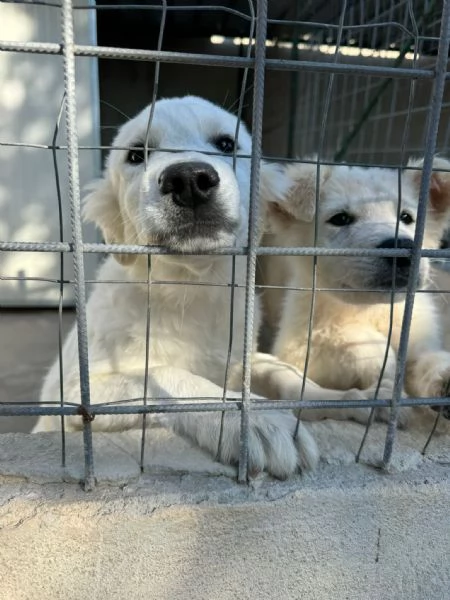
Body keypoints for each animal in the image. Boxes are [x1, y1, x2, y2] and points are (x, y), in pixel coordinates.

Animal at [31, 95, 358, 478]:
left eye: (227, 144)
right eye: (136, 154)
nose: (188, 179)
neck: (191, 288)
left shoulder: (243, 359)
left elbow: (286, 374)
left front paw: (347, 399)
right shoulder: (74, 397)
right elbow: (163, 374)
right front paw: (256, 420)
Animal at [260, 157, 450, 424]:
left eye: (406, 217)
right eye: (340, 219)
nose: (402, 251)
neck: (372, 310)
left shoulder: (417, 339)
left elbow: (427, 359)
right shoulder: (295, 347)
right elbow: (359, 343)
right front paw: (385, 379)